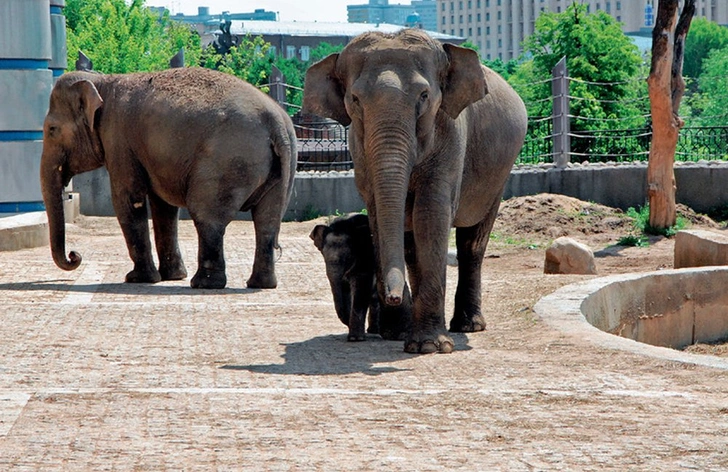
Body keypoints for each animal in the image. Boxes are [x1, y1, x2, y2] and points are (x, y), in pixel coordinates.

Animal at [41, 68, 298, 290]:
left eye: (52, 129)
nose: (75, 255)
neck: (103, 81)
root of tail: (277, 125)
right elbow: (163, 207)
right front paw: (172, 276)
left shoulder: (119, 138)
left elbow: (128, 200)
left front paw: (138, 279)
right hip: (280, 168)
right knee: (267, 220)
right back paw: (260, 284)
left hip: (226, 161)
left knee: (207, 215)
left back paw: (203, 284)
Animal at [304, 29, 528, 352]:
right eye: (355, 99)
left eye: (424, 96)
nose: (392, 296)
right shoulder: (359, 146)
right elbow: (379, 210)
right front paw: (397, 333)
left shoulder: (450, 133)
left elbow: (431, 213)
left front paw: (430, 347)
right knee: (411, 246)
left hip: (500, 173)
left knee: (473, 242)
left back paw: (468, 326)